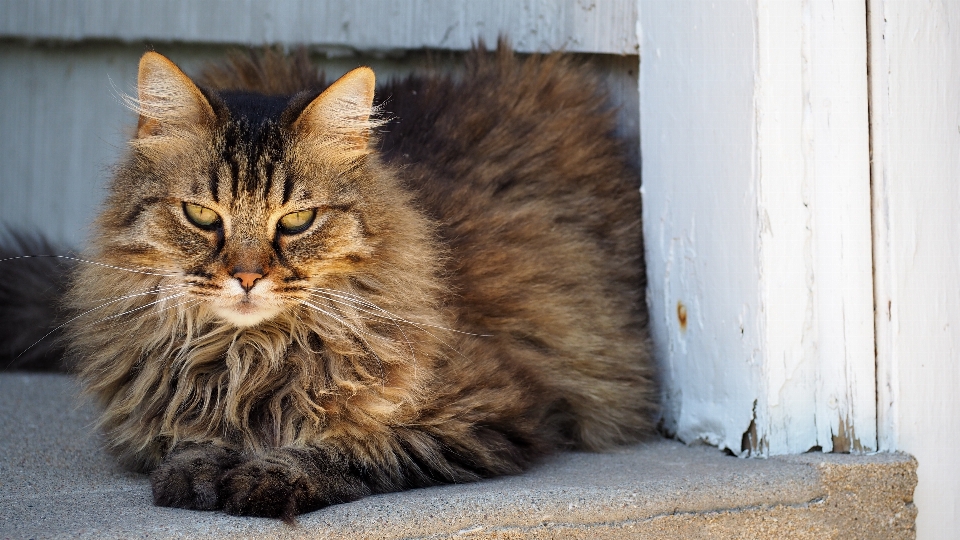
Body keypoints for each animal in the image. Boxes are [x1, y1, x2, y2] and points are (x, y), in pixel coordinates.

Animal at [3, 43, 656, 524]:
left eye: (296, 221)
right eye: (202, 216)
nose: (246, 277)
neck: (252, 354)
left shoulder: (489, 409)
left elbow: (355, 445)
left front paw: (263, 474)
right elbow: (189, 429)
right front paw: (203, 463)